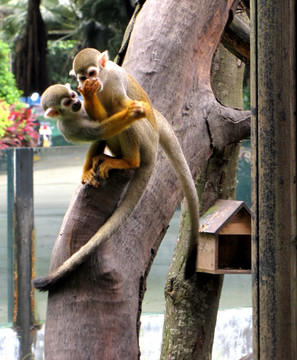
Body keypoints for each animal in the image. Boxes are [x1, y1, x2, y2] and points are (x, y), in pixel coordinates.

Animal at [33, 48, 200, 290]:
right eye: (82, 78)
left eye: (92, 73)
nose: (84, 89)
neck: (104, 81)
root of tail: (154, 146)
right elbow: (101, 125)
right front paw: (91, 96)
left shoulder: (116, 78)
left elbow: (121, 105)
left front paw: (123, 107)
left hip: (148, 139)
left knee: (128, 118)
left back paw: (129, 161)